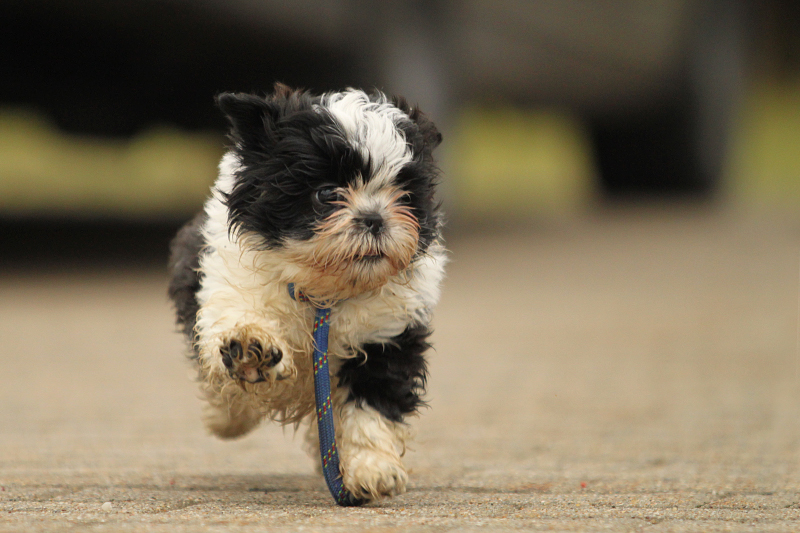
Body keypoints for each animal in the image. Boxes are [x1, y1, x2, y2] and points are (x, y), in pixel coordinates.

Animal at [169, 84, 446, 502]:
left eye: (404, 195)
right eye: (327, 194)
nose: (374, 218)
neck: (322, 290)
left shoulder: (389, 335)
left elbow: (372, 407)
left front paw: (372, 468)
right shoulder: (226, 283)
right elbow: (235, 329)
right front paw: (249, 350)